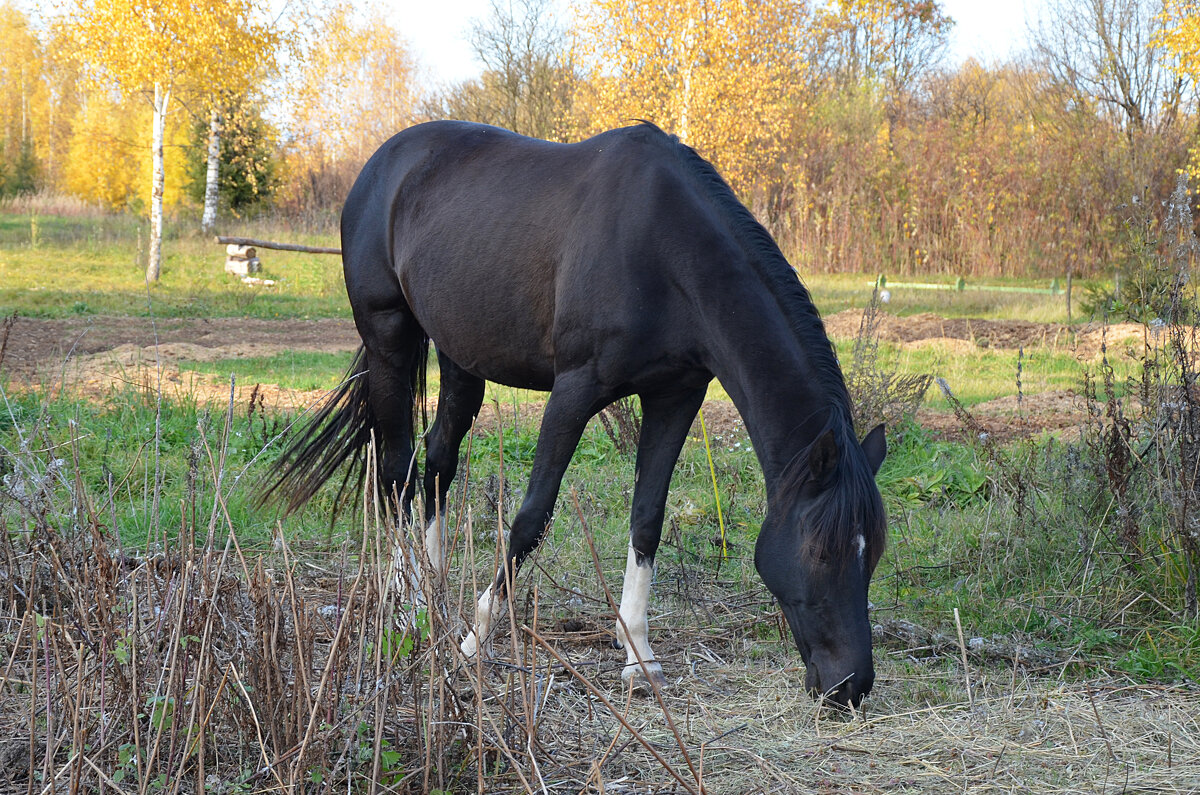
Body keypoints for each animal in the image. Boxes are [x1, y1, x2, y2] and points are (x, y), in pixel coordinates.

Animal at [267, 123, 888, 710]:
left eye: (874, 552)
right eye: (822, 550)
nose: (851, 686)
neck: (664, 246)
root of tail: (383, 161)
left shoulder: (676, 395)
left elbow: (647, 517)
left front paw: (638, 654)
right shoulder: (575, 389)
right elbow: (531, 515)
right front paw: (477, 639)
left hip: (460, 355)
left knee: (438, 460)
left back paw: (435, 590)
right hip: (389, 336)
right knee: (396, 469)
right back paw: (410, 604)